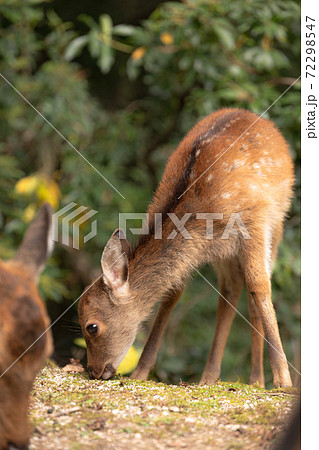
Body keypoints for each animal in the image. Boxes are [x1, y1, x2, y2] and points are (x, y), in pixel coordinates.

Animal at [79, 108, 296, 386]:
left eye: (91, 327)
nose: (92, 371)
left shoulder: (255, 220)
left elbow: (259, 286)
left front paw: (283, 380)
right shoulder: (200, 252)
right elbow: (172, 293)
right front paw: (140, 372)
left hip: (277, 222)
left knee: (251, 290)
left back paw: (256, 379)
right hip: (225, 254)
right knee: (230, 290)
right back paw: (210, 376)